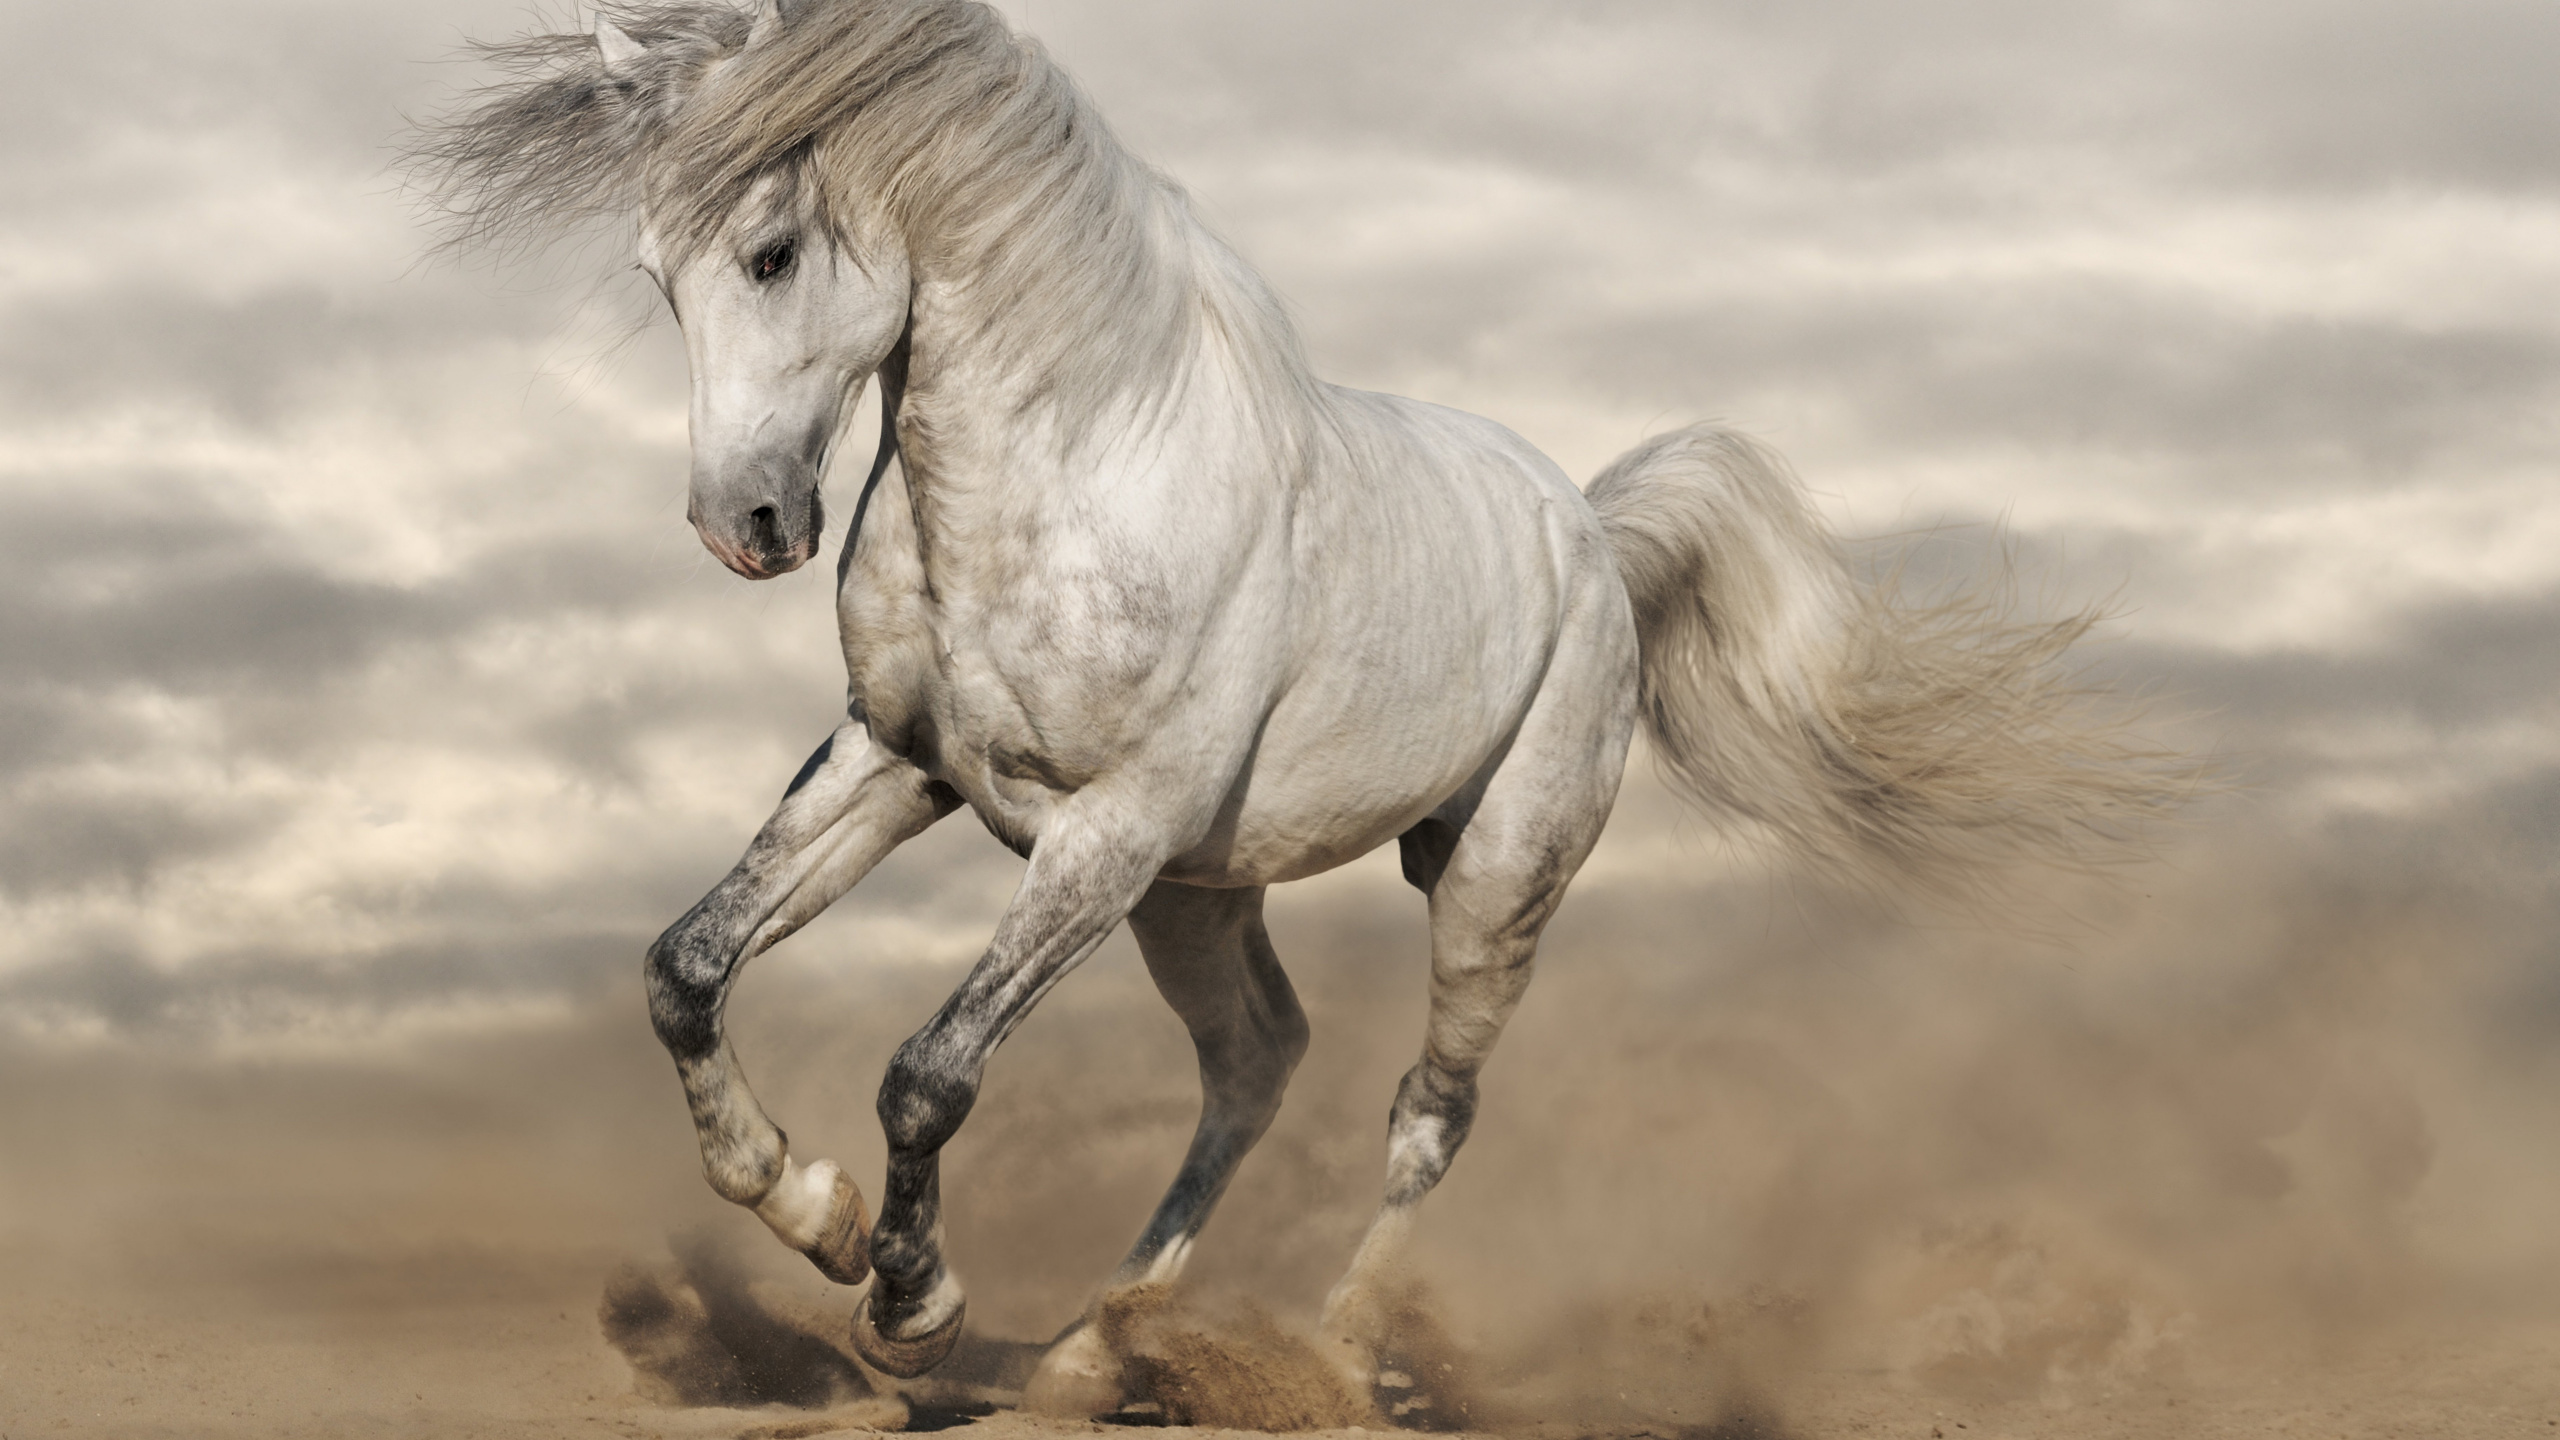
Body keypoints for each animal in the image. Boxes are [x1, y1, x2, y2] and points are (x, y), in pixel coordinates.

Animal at [412, 0, 2187, 1410]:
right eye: (656, 276)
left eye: (771, 253)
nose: (747, 526)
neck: (1064, 476)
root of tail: (1593, 536)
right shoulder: (902, 769)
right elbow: (687, 969)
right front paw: (814, 1210)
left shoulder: (1104, 836)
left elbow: (932, 1070)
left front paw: (911, 1305)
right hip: (1201, 899)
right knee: (1260, 1060)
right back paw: (1096, 1350)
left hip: (1482, 885)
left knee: (1423, 1114)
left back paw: (1330, 1356)